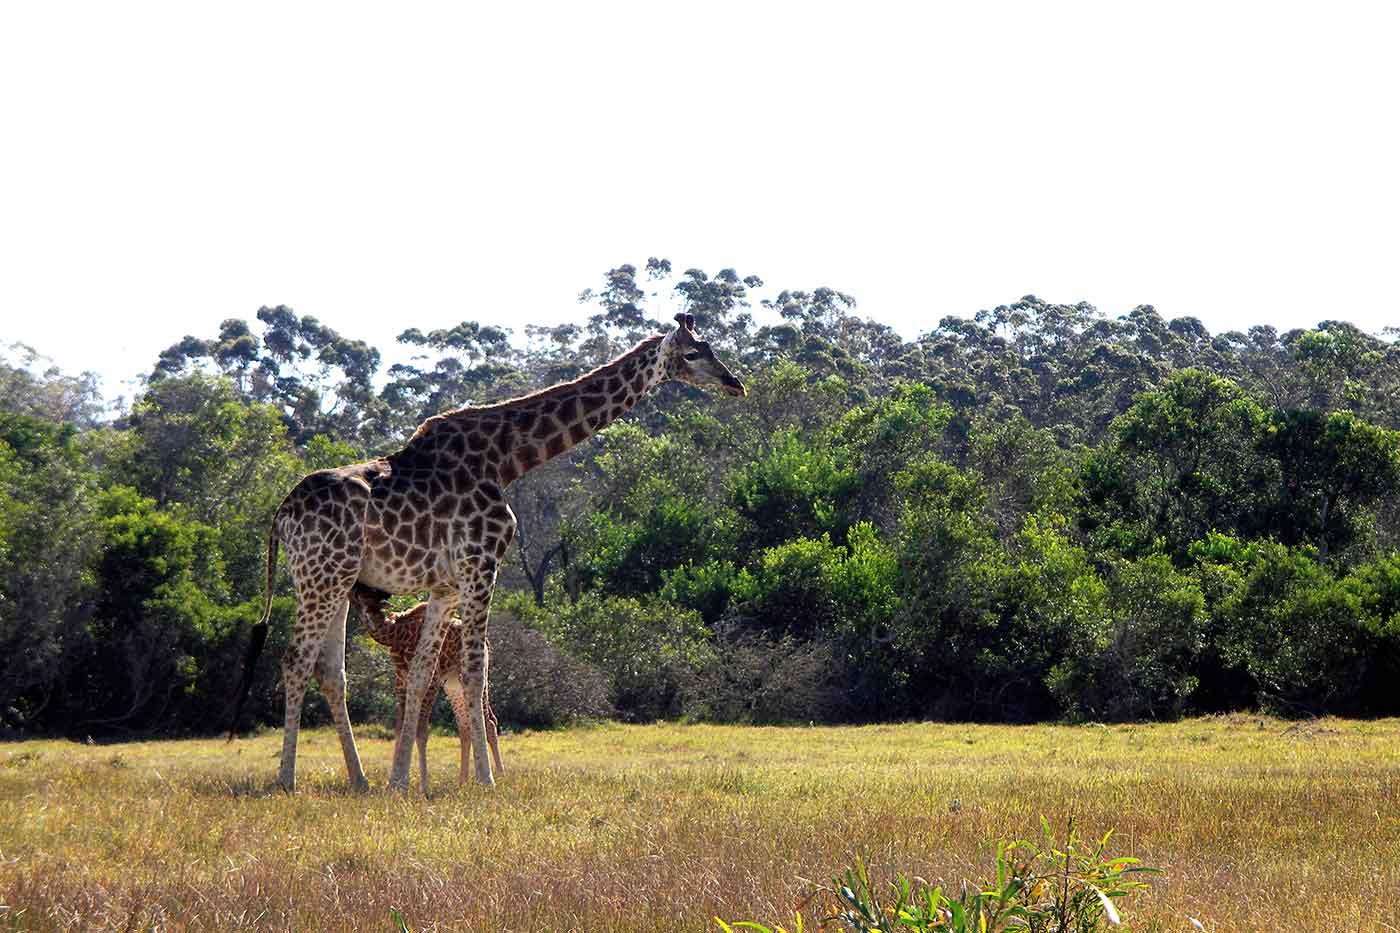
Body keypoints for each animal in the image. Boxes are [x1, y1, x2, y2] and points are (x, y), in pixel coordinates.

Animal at [350, 582, 504, 784]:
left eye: (362, 595)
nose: (351, 590)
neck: (397, 635)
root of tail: (486, 643)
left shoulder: (431, 680)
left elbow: (421, 732)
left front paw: (422, 784)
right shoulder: (401, 679)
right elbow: (399, 729)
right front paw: (394, 779)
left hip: (472, 676)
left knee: (490, 722)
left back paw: (500, 775)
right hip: (453, 683)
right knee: (465, 726)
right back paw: (462, 782)